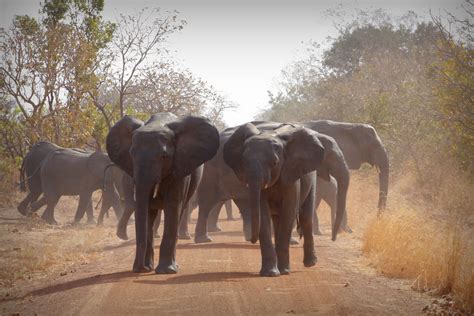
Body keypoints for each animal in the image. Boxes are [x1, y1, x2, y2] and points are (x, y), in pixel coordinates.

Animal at [105, 113, 218, 274]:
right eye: (131, 154)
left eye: (164, 156)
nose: (141, 268)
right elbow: (146, 208)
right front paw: (147, 268)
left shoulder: (180, 167)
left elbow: (172, 206)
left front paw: (166, 271)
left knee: (180, 211)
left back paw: (174, 265)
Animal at [194, 119, 350, 246]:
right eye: (332, 156)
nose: (333, 239)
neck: (314, 133)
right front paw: (291, 242)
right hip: (210, 172)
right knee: (207, 201)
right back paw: (204, 239)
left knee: (243, 203)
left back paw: (251, 238)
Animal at [222, 122, 348, 276]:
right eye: (244, 162)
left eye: (275, 163)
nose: (251, 239)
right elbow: (263, 212)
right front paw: (270, 273)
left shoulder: (291, 172)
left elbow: (289, 211)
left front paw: (284, 271)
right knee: (278, 220)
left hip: (311, 179)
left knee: (305, 217)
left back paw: (310, 263)